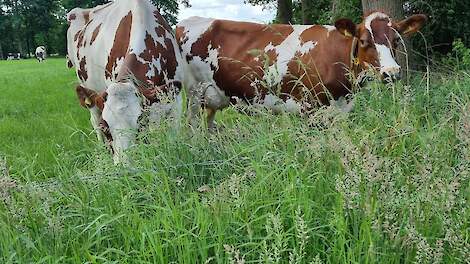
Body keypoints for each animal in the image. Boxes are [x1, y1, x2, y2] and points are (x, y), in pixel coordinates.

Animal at [66, 0, 191, 163]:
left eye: (140, 126)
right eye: (106, 129)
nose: (124, 167)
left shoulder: (175, 99)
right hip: (89, 93)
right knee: (94, 120)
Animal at [176, 12, 426, 129]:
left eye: (396, 39)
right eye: (364, 41)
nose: (391, 72)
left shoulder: (340, 110)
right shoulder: (310, 108)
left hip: (212, 97)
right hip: (194, 93)